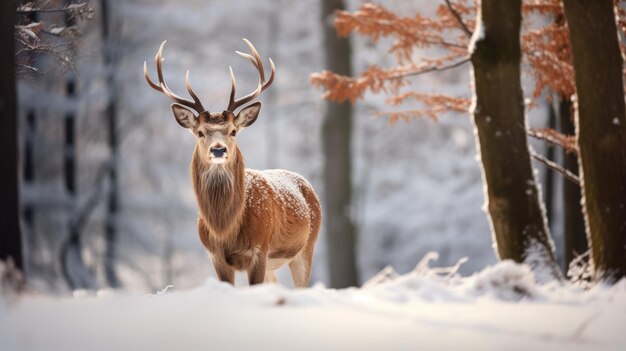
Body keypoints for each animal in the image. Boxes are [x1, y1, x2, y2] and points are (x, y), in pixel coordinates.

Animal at [143, 39, 320, 288]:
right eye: (200, 132)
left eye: (233, 131)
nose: (218, 149)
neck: (225, 230)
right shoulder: (215, 256)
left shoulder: (259, 249)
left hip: (306, 247)